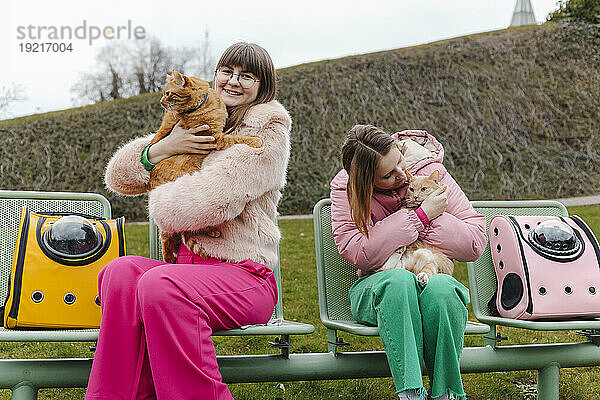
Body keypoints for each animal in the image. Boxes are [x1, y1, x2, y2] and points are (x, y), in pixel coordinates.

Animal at [149, 69, 262, 262]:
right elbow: (236, 139)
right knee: (169, 236)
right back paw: (172, 257)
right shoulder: (214, 138)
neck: (203, 104)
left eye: (167, 93)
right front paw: (254, 140)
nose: (161, 102)